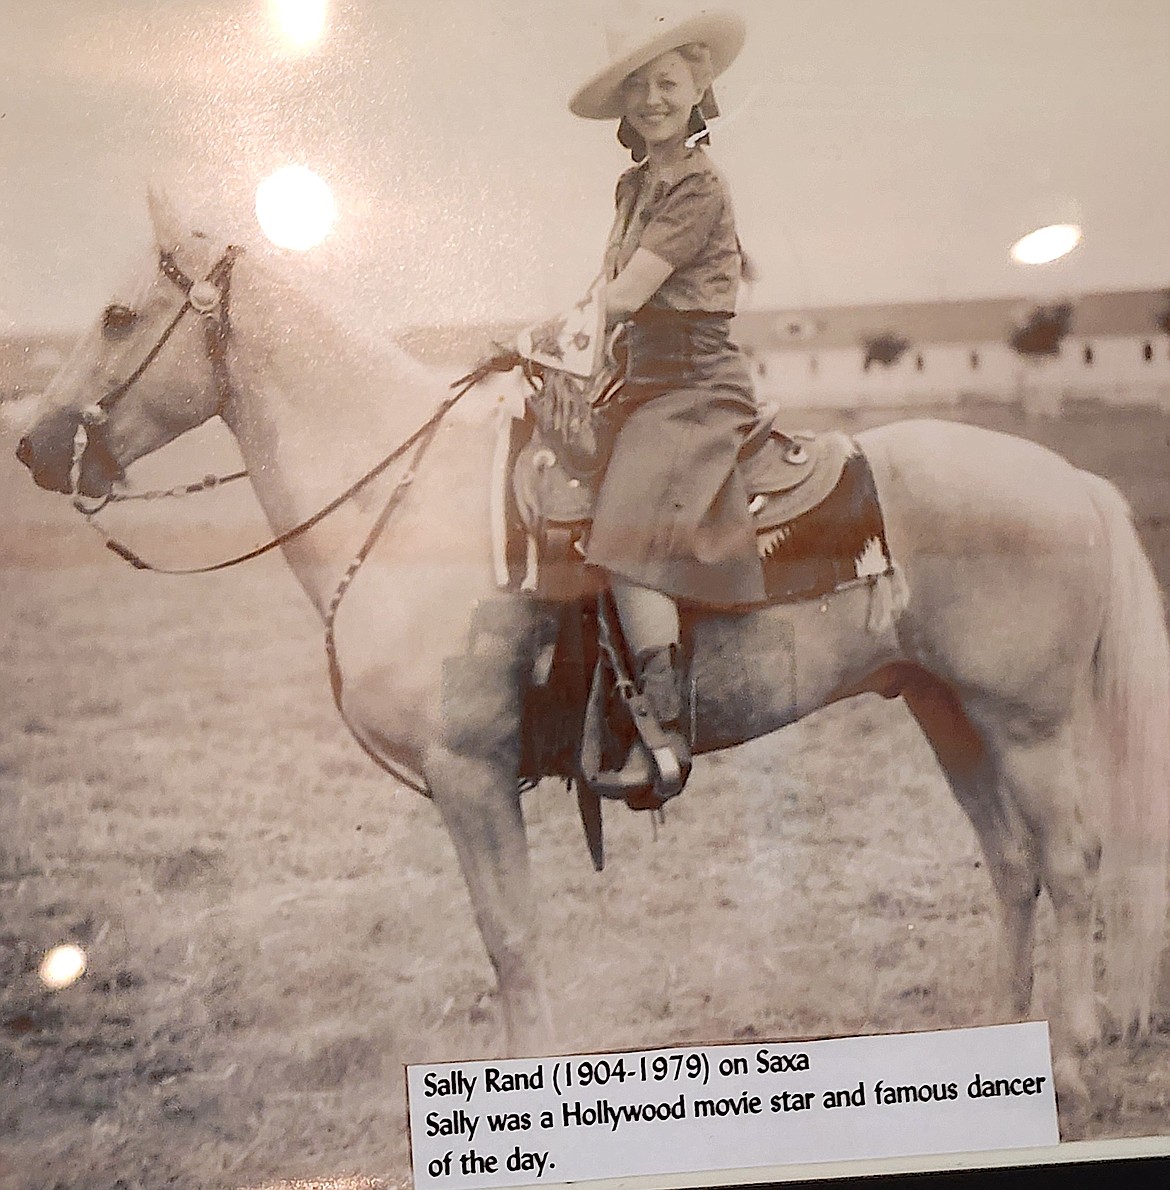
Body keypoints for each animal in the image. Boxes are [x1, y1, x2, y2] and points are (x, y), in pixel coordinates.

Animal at [18, 190, 1170, 1118]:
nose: (33, 446)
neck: (412, 508)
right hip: (943, 709)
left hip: (1026, 723)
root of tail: (1071, 479)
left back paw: (1074, 1063)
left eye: (118, 315)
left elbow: (510, 939)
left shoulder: (471, 774)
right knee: (1012, 867)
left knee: (1070, 864)